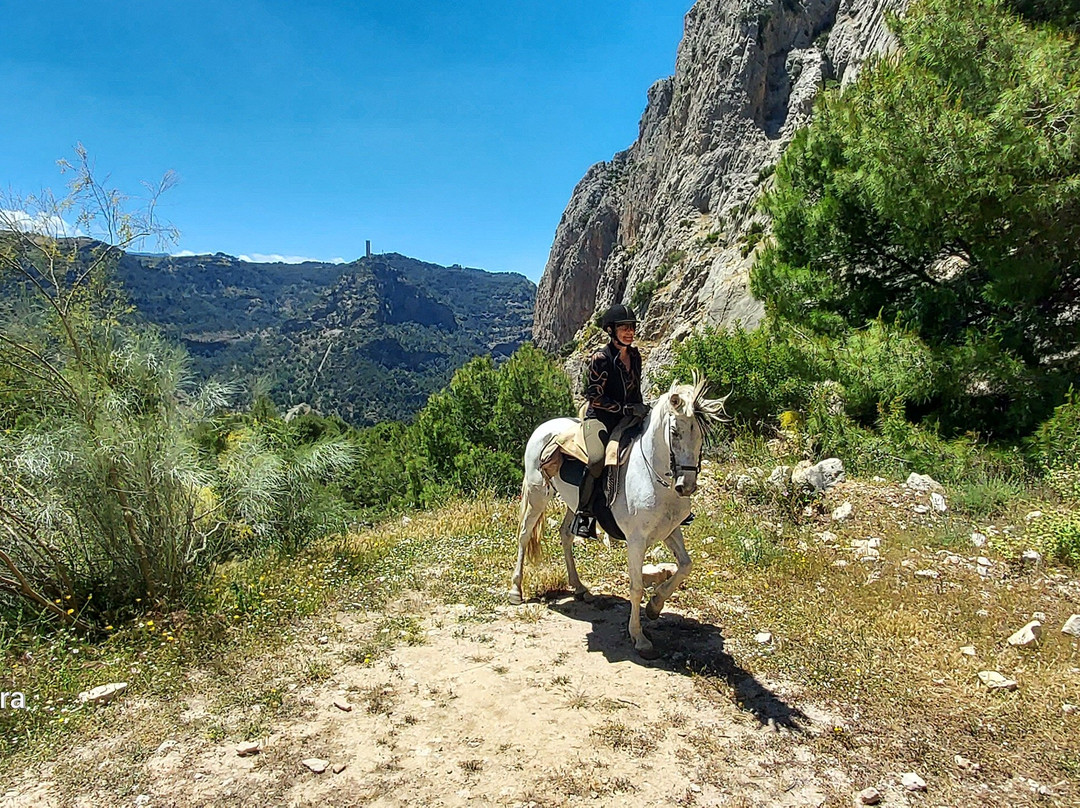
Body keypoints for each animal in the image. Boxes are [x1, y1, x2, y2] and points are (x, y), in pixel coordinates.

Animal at [509, 374, 727, 659]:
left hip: (573, 503)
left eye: (699, 433)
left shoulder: (671, 530)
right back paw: (516, 590)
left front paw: (655, 606)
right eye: (675, 432)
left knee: (566, 535)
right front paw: (639, 637)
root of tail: (543, 428)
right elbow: (636, 587)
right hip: (537, 495)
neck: (653, 476)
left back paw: (580, 588)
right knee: (524, 536)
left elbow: (685, 566)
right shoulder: (636, 540)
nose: (687, 486)